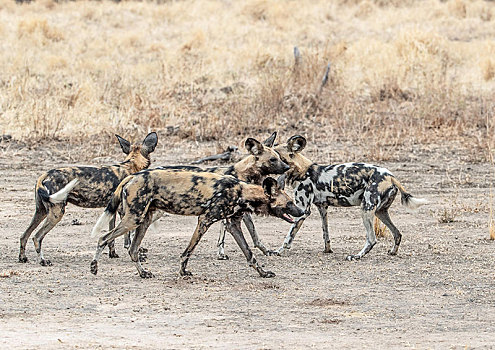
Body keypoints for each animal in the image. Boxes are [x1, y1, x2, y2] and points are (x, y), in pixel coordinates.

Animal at [18, 131, 158, 266]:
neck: (131, 164)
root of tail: (44, 175)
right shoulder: (124, 213)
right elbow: (128, 238)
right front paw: (138, 255)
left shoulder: (112, 210)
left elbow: (111, 238)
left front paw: (112, 254)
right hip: (56, 213)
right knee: (37, 237)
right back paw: (43, 261)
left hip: (41, 212)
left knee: (24, 235)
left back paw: (22, 258)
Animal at [90, 170, 304, 278]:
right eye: (289, 203)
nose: (302, 212)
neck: (242, 192)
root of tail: (132, 176)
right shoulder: (205, 221)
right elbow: (188, 252)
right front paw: (183, 272)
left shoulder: (233, 225)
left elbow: (250, 254)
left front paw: (263, 273)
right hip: (133, 219)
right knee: (103, 238)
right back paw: (94, 267)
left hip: (143, 220)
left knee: (133, 249)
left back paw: (143, 273)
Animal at [152, 133, 290, 258]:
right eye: (272, 159)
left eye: (279, 157)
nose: (287, 167)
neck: (244, 174)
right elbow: (253, 233)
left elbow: (226, 232)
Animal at [274, 135, 428, 262]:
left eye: (275, 155)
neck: (302, 171)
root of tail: (390, 176)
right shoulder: (323, 208)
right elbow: (326, 234)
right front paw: (327, 250)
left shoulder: (303, 211)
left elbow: (289, 237)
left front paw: (278, 251)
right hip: (380, 212)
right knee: (397, 233)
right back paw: (392, 252)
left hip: (366, 209)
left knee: (372, 239)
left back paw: (356, 256)